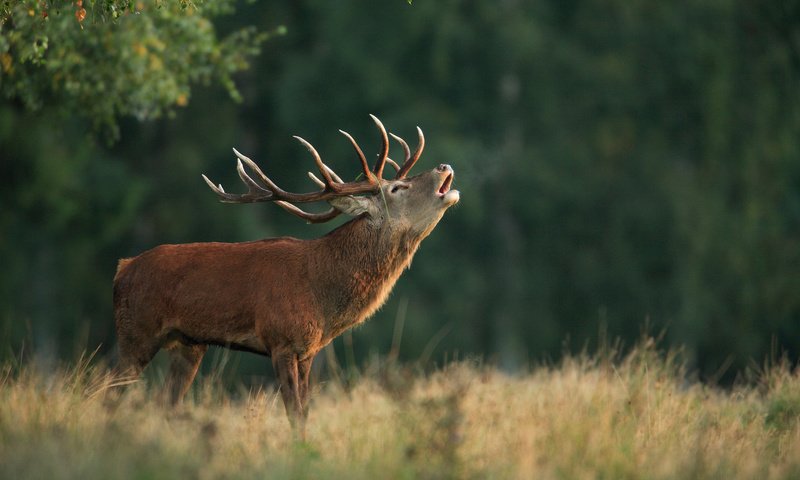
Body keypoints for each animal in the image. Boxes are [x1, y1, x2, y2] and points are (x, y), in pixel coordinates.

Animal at [114, 114, 462, 436]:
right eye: (397, 187)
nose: (444, 166)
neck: (322, 293)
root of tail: (122, 269)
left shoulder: (308, 350)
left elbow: (305, 413)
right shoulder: (280, 339)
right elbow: (294, 414)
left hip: (188, 345)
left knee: (165, 402)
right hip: (135, 333)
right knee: (110, 393)